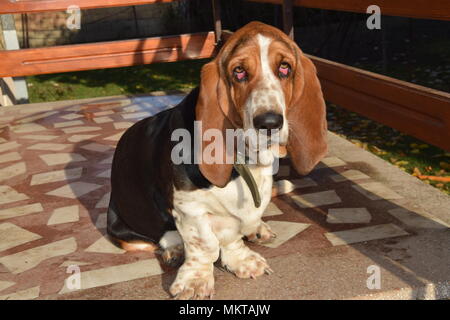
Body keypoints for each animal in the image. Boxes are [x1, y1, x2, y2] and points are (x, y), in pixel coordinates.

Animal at [108, 21, 326, 298]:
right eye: (239, 71)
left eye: (285, 67)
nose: (269, 123)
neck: (246, 162)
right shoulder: (190, 207)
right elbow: (205, 244)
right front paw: (195, 281)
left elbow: (231, 236)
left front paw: (242, 260)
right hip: (120, 227)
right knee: (154, 237)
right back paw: (174, 247)